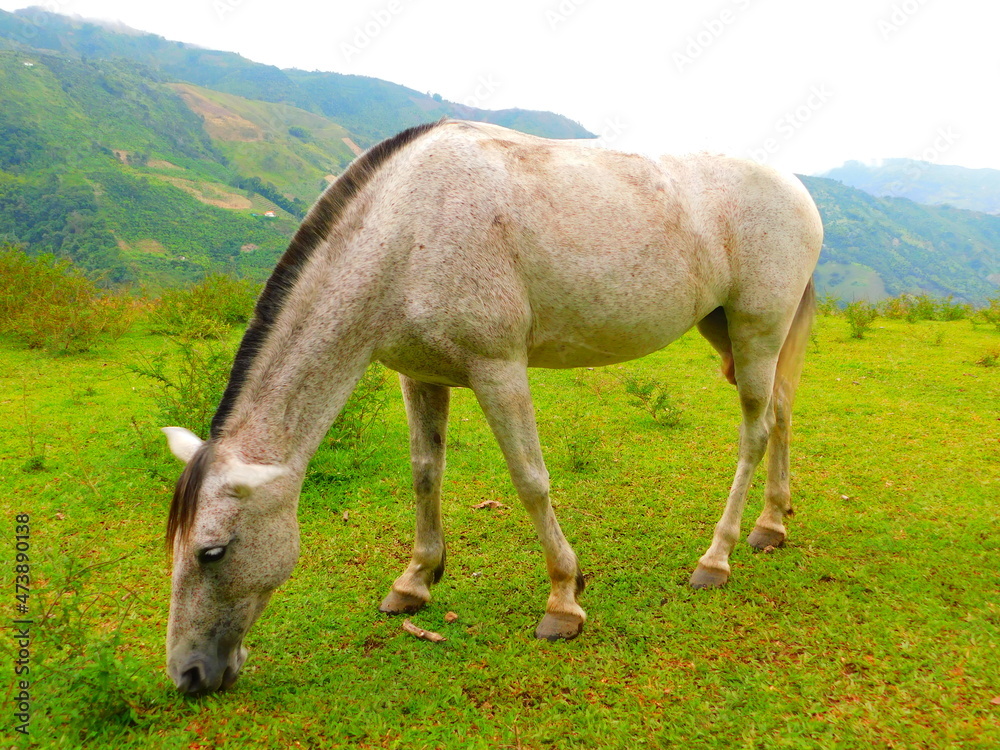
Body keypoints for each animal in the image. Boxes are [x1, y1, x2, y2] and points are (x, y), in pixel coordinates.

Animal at [161, 118, 822, 694]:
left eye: (213, 551)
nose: (189, 675)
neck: (406, 230)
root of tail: (799, 190)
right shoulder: (419, 376)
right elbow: (425, 474)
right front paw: (416, 579)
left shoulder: (498, 369)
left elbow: (530, 481)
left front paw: (564, 598)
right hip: (728, 329)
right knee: (784, 413)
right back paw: (771, 525)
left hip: (757, 328)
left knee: (756, 430)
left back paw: (717, 557)